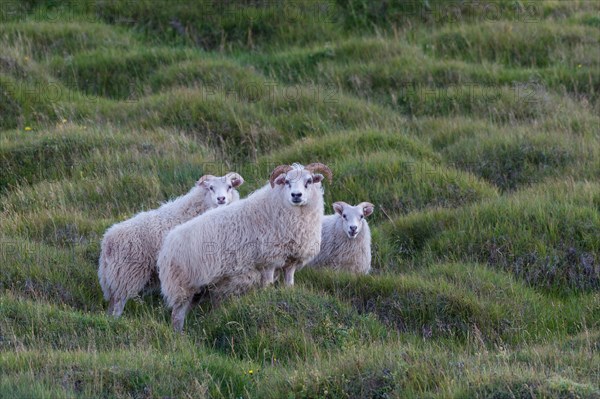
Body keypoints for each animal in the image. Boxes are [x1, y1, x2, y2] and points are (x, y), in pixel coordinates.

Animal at [98, 173, 244, 318]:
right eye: (211, 188)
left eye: (229, 186)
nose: (221, 199)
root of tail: (107, 241)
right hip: (126, 275)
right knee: (118, 305)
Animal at [157, 164, 332, 332]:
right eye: (287, 182)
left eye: (309, 181)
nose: (296, 195)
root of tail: (166, 246)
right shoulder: (268, 261)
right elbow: (267, 286)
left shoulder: (290, 261)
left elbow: (289, 284)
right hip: (181, 287)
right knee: (177, 317)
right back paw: (178, 336)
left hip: (199, 290)